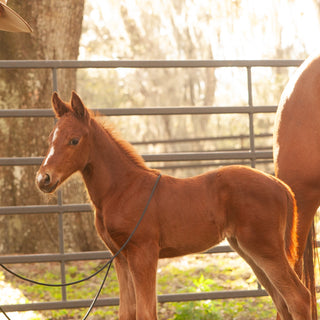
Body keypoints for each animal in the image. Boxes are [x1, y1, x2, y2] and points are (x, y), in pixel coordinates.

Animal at [37, 91, 310, 318]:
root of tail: (280, 186)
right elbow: (127, 311)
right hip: (248, 250)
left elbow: (145, 312)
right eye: (50, 139)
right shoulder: (121, 258)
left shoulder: (143, 254)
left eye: (74, 140)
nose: (43, 179)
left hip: (265, 249)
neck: (123, 189)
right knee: (282, 301)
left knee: (299, 298)